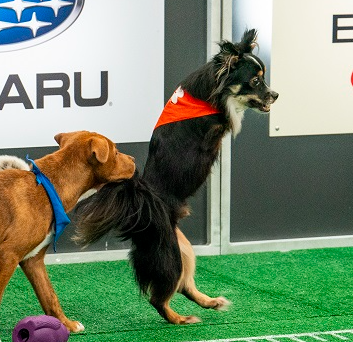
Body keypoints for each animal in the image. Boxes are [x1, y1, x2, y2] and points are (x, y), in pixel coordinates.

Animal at [0, 131, 135, 332]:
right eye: (117, 153)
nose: (134, 159)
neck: (47, 188)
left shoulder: (33, 260)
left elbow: (50, 296)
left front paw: (67, 325)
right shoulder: (8, 255)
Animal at [74, 28, 278, 324]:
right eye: (255, 81)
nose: (275, 95)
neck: (208, 92)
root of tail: (142, 206)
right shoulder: (214, 124)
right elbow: (230, 114)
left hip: (184, 250)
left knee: (184, 286)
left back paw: (210, 302)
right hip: (169, 254)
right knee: (159, 298)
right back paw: (179, 319)